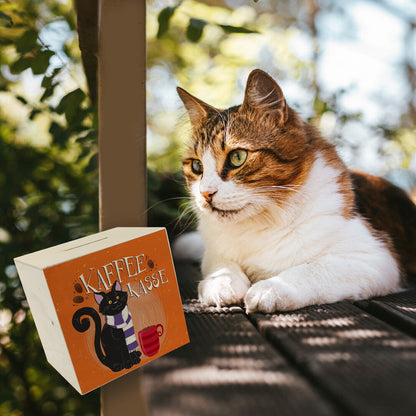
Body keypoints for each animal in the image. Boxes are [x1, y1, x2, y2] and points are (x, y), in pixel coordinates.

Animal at [177, 70, 416, 314]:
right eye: (196, 166)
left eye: (237, 157)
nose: (206, 194)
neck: (261, 224)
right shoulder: (215, 251)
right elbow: (220, 264)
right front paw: (221, 283)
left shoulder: (376, 259)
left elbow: (312, 269)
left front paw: (270, 289)